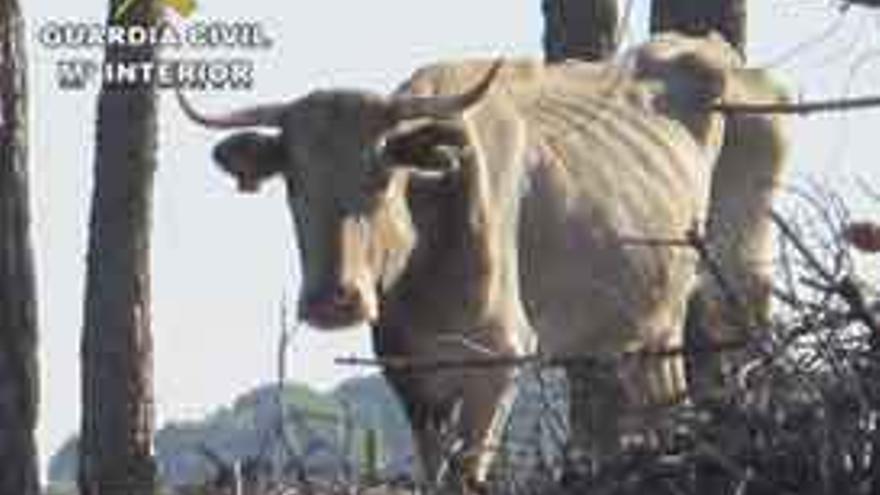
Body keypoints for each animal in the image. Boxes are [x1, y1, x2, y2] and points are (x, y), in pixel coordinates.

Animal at [177, 33, 776, 490]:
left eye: (382, 177)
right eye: (295, 184)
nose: (333, 299)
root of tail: (725, 56)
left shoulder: (499, 358)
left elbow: (469, 472)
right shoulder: (411, 372)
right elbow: (434, 471)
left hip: (738, 277)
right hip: (645, 329)